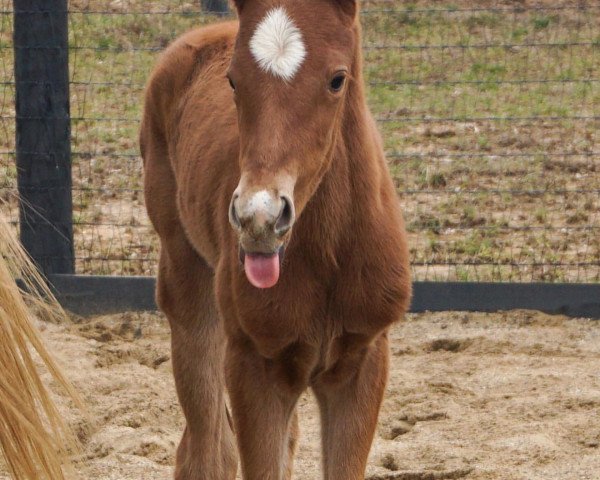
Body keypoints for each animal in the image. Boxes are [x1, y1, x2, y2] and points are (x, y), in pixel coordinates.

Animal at [141, 1, 412, 478]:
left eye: (337, 79)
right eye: (232, 79)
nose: (260, 218)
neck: (328, 254)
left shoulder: (363, 359)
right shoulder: (254, 367)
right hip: (187, 282)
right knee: (208, 447)